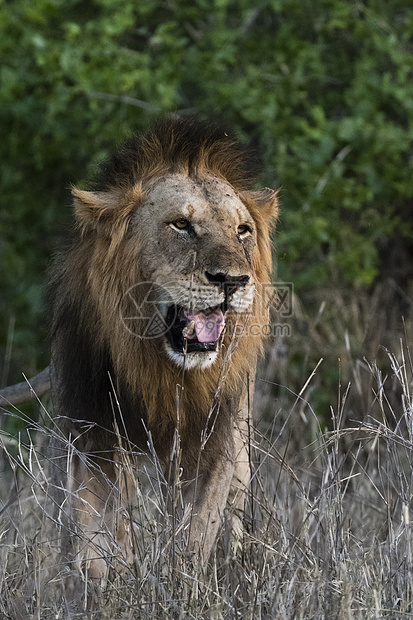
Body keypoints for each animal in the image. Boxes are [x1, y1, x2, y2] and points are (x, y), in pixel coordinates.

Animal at [47, 117, 276, 580]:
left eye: (242, 230)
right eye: (181, 225)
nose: (233, 281)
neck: (163, 372)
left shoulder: (216, 442)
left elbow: (194, 535)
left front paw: (180, 582)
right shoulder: (91, 435)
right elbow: (95, 541)